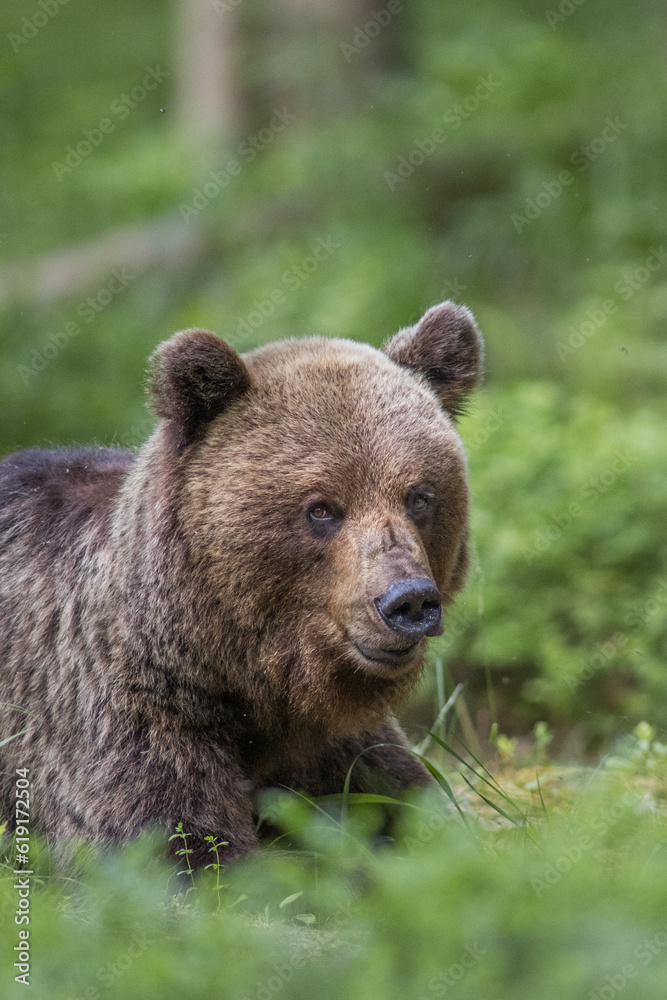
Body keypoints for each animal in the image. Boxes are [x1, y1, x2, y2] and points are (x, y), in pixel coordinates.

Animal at [0, 300, 482, 864]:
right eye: (321, 508)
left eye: (420, 496)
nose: (408, 601)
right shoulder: (125, 714)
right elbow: (172, 841)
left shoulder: (342, 746)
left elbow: (408, 808)